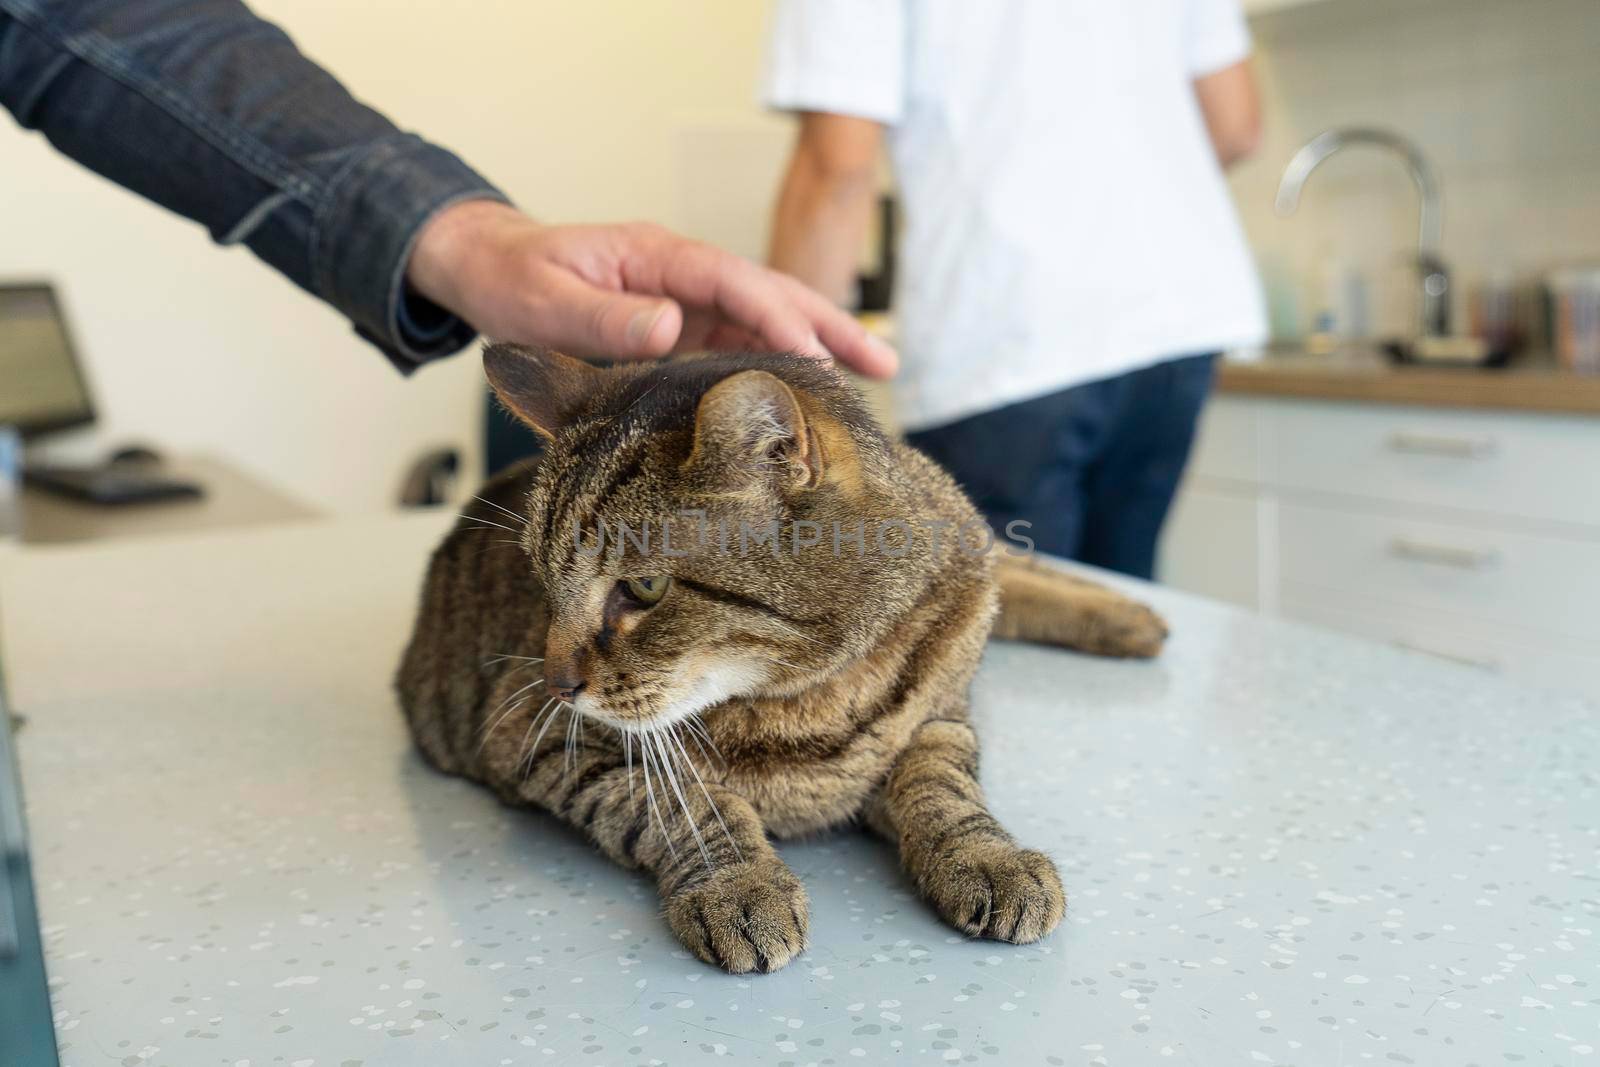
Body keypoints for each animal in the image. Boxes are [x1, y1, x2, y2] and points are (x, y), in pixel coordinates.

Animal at [393, 343, 1171, 979]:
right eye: (539, 580)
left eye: (643, 588)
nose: (558, 683)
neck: (810, 691)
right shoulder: (535, 737)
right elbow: (683, 805)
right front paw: (739, 886)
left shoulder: (942, 714)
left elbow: (943, 786)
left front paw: (988, 856)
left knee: (1018, 565)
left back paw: (1132, 616)